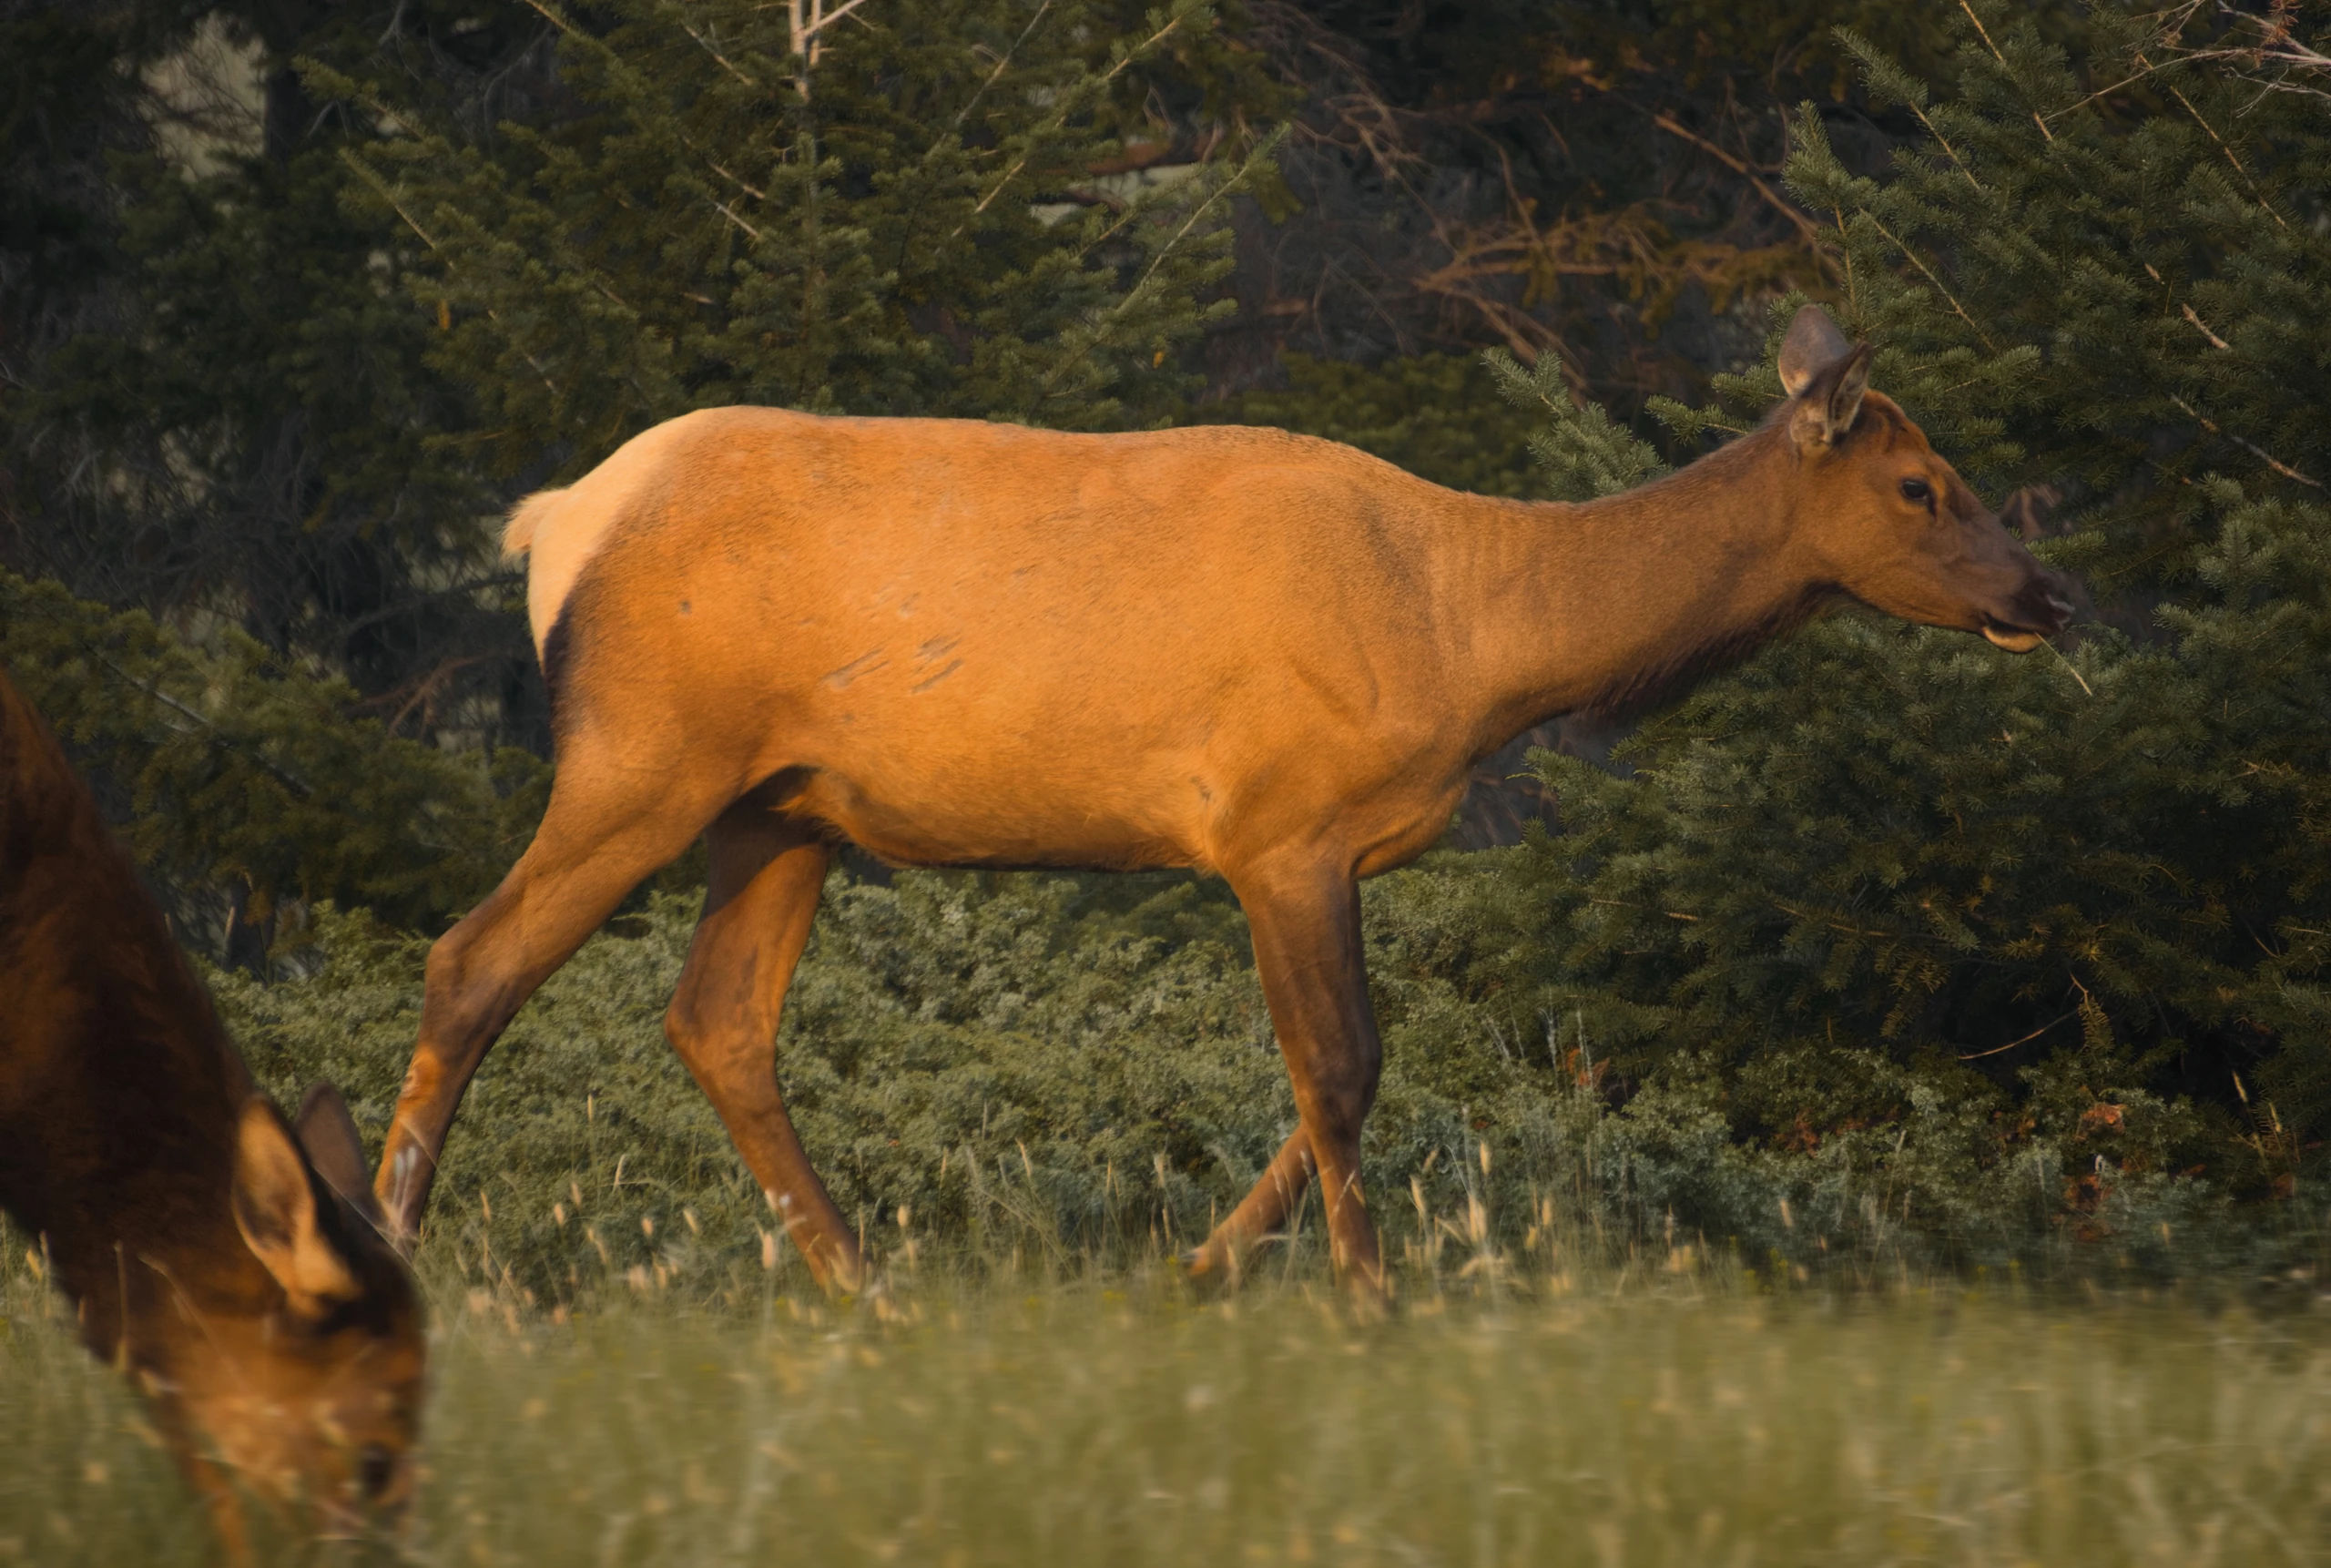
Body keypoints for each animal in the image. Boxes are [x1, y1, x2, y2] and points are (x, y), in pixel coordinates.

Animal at [372, 305, 2076, 1297]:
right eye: (1921, 485)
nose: (2044, 594)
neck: (1478, 640)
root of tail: (553, 526)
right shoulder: (1279, 827)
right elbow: (1343, 1066)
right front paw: (1362, 1295)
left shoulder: (1323, 848)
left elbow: (1349, 1073)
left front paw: (1193, 1267)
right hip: (639, 757)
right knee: (472, 959)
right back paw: (387, 1247)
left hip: (785, 808)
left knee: (717, 1020)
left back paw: (866, 1284)